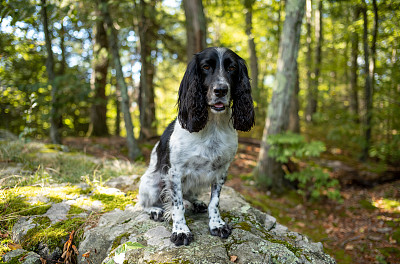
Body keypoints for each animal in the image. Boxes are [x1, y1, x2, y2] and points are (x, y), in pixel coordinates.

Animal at [138, 46, 255, 246]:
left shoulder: (221, 171)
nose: (220, 90)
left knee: (189, 195)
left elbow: (214, 202)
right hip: (151, 182)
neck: (213, 126)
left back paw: (196, 202)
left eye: (232, 68)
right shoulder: (175, 172)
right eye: (206, 67)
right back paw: (155, 210)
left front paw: (217, 224)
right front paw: (181, 231)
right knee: (143, 203)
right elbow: (177, 206)